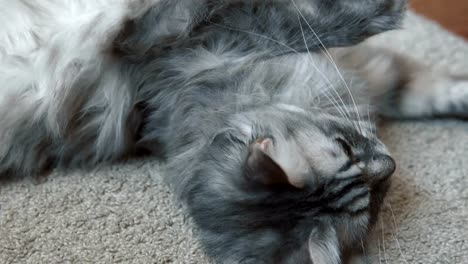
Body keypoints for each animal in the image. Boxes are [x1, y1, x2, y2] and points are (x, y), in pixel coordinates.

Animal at [0, 0, 468, 264]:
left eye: (344, 144)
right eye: (372, 205)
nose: (389, 163)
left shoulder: (373, 76)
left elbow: (434, 91)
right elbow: (332, 18)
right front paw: (387, 9)